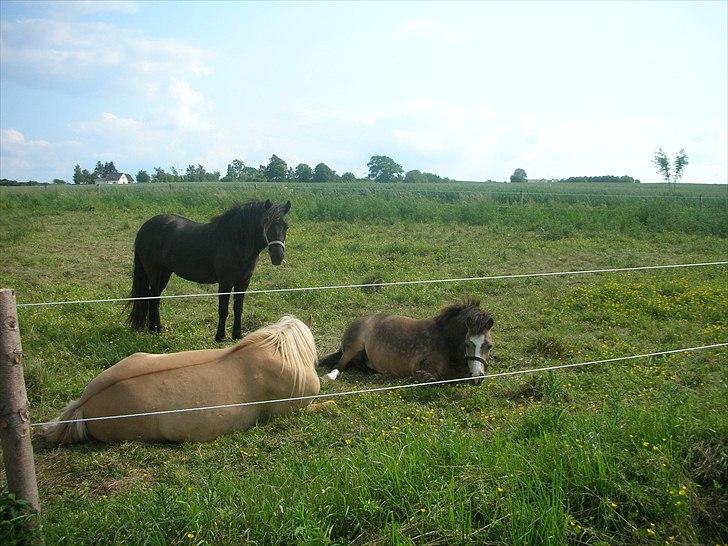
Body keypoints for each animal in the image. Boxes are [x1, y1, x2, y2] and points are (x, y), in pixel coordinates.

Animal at [127, 199, 291, 341]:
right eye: (266, 223)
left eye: (286, 226)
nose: (277, 256)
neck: (235, 240)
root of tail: (144, 227)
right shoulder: (225, 282)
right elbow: (223, 309)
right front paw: (220, 337)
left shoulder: (243, 282)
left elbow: (238, 308)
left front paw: (237, 335)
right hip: (154, 272)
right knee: (153, 296)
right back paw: (157, 328)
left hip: (165, 272)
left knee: (154, 297)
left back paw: (153, 328)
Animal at [319, 300, 494, 385]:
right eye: (467, 344)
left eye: (489, 346)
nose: (478, 377)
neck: (444, 341)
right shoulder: (421, 371)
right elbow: (437, 382)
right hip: (352, 348)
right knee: (340, 366)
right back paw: (330, 376)